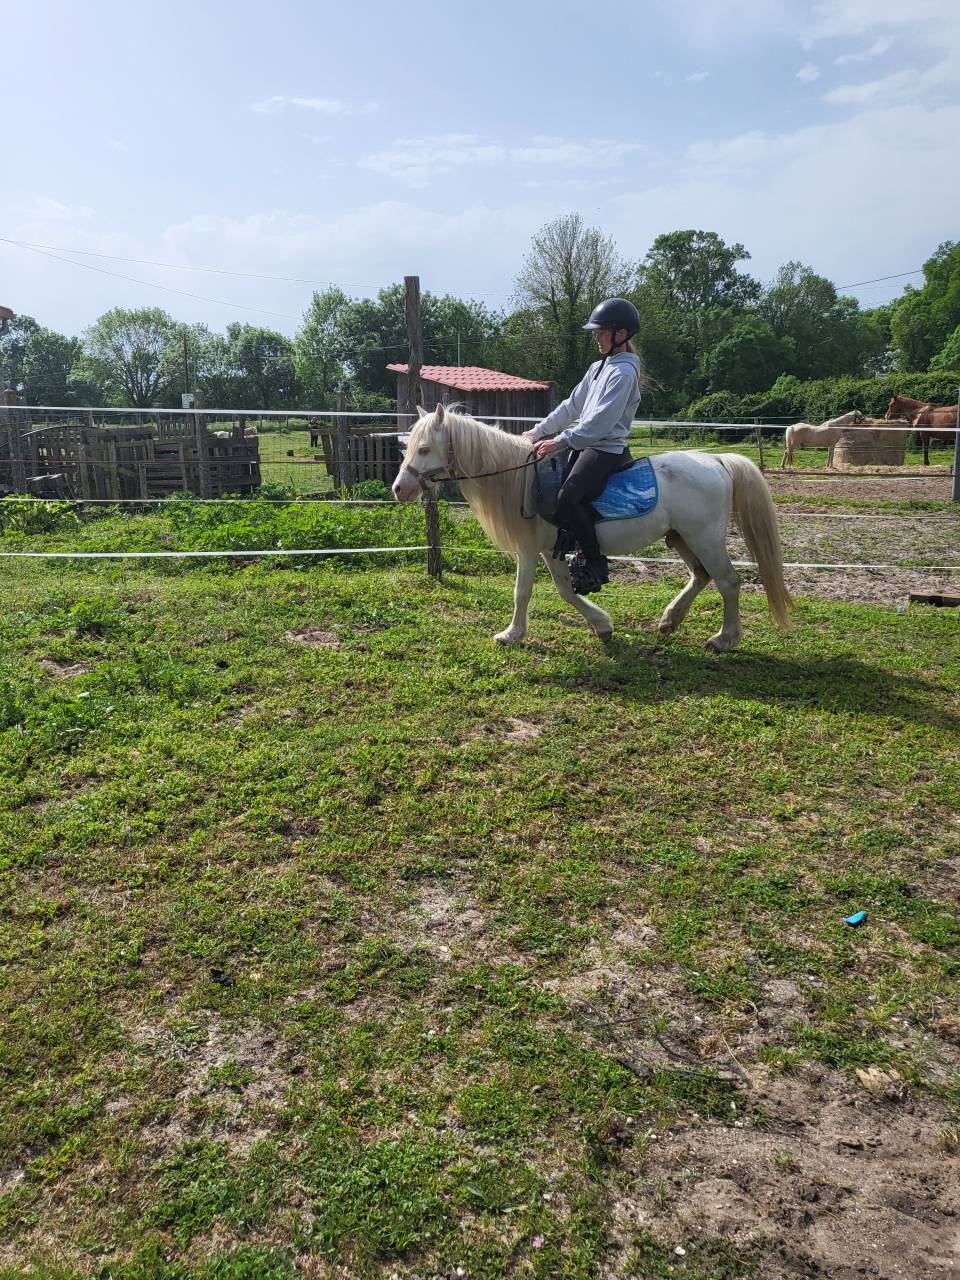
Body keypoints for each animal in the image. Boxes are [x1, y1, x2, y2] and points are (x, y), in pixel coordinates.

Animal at [392, 404, 793, 654]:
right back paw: (669, 620)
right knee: (702, 576)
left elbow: (522, 592)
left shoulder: (528, 549)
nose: (399, 488)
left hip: (704, 538)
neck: (521, 480)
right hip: (681, 537)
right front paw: (602, 625)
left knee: (728, 581)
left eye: (424, 448)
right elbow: (566, 591)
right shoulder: (549, 548)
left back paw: (724, 639)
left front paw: (511, 634)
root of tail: (717, 461)